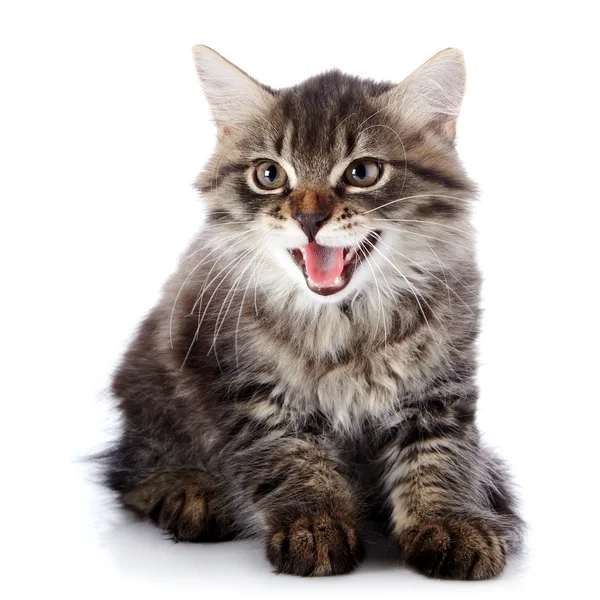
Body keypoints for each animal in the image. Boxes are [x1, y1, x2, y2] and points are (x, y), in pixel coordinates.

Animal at [102, 44, 520, 580]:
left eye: (362, 172)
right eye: (269, 175)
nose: (309, 217)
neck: (344, 322)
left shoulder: (438, 387)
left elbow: (441, 457)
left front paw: (451, 522)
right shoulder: (251, 389)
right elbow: (292, 459)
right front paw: (315, 526)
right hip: (149, 395)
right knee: (135, 473)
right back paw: (191, 494)